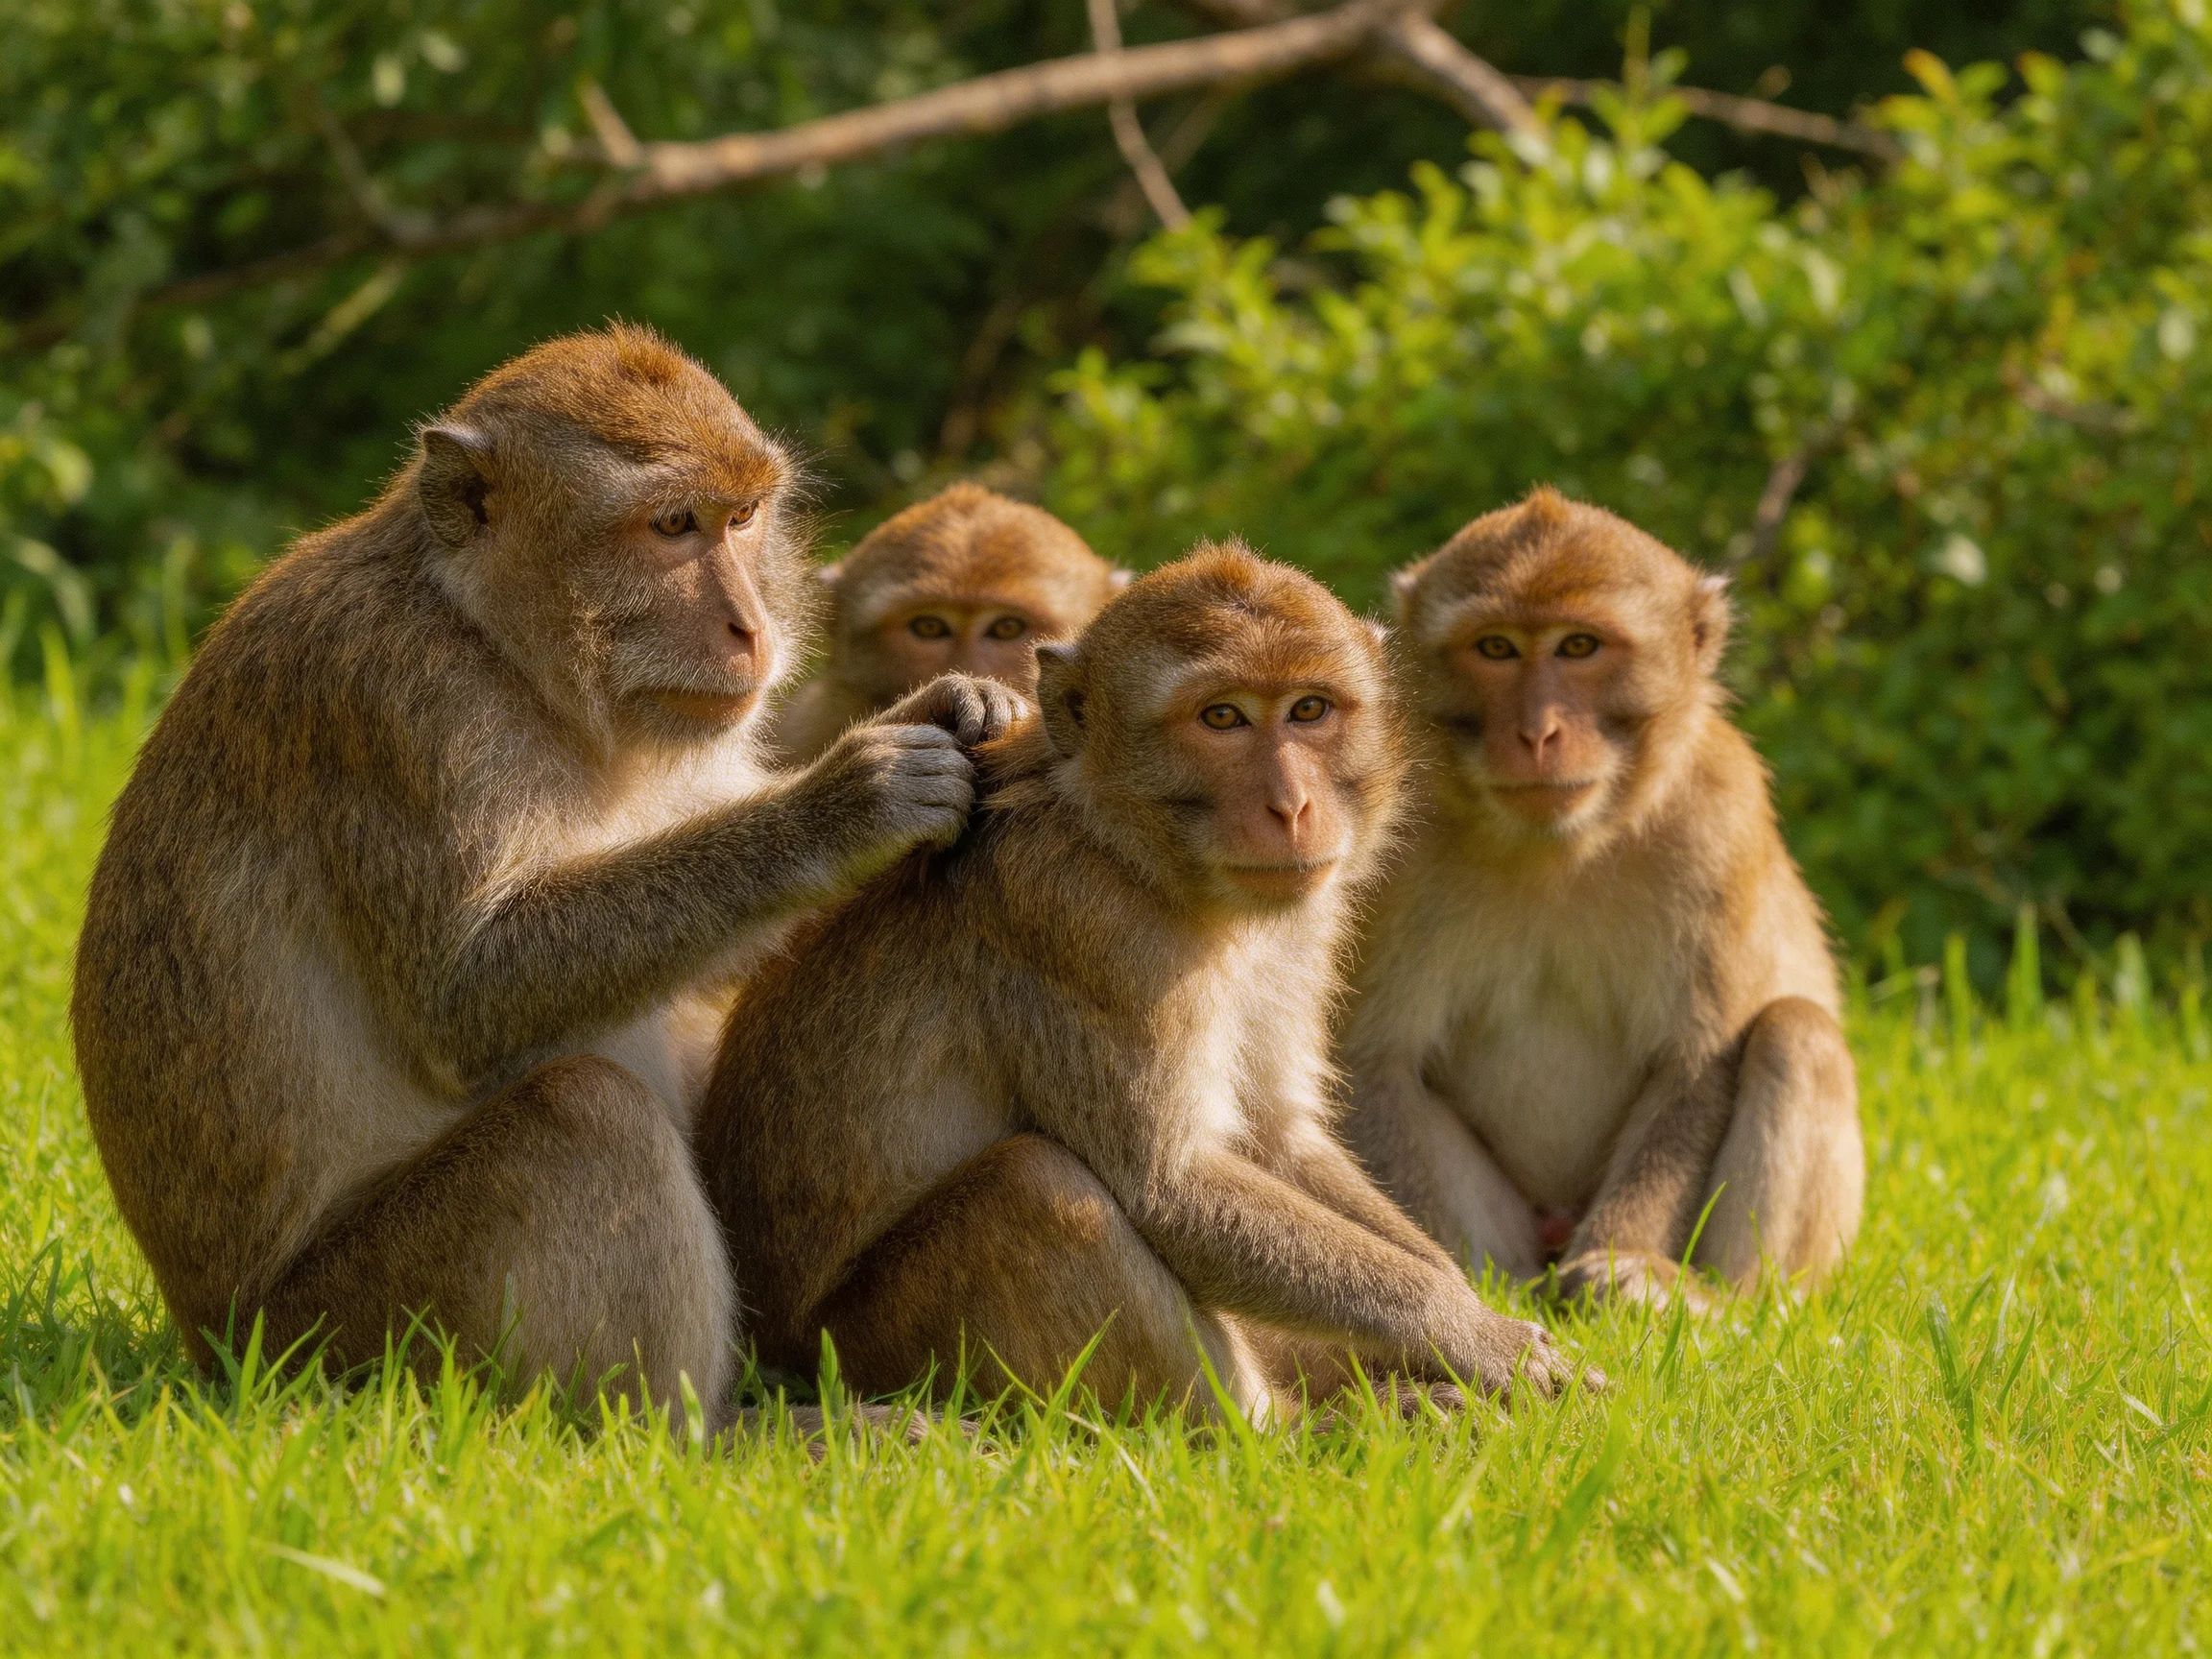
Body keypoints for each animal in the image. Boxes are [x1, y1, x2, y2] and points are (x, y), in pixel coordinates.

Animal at [70, 324, 1023, 1429]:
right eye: (672, 526)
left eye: (741, 519)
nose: (752, 628)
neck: (496, 644)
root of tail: (211, 1347)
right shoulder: (398, 706)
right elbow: (466, 996)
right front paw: (846, 805)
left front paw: (959, 701)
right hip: (343, 1345)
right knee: (585, 1117)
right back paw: (707, 1437)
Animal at [697, 543, 1583, 1421]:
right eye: (1221, 718)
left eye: (1309, 710)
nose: (1293, 807)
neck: (1128, 846)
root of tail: (775, 1353)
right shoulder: (1086, 926)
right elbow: (1170, 1185)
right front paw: (1481, 1340)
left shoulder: (1300, 924)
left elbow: (1276, 1136)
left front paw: (1469, 1316)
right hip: (867, 1350)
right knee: (1032, 1185)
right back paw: (1294, 1429)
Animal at [1338, 488, 1864, 1311]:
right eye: (1497, 649)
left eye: (1578, 647)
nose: (1536, 732)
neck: (1562, 849)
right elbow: (1376, 1059)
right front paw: (1453, 1290)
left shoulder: (1718, 818)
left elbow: (1694, 1063)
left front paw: (1627, 1269)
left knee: (1796, 1032)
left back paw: (1728, 1307)